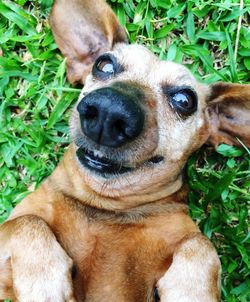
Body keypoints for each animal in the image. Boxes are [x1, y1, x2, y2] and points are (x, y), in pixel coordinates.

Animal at [0, 0, 250, 302]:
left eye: (184, 100)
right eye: (103, 64)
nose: (109, 111)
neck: (104, 206)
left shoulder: (186, 236)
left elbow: (200, 243)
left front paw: (191, 290)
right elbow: (25, 222)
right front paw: (44, 280)